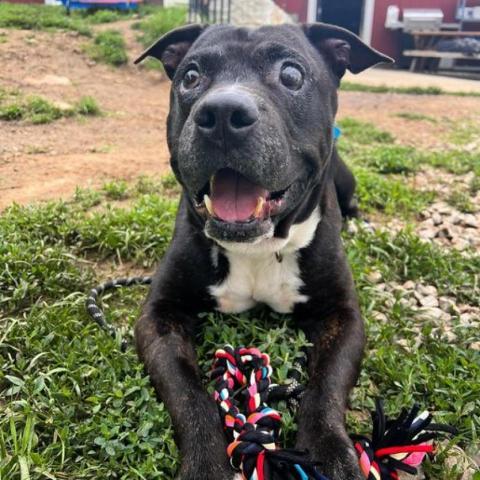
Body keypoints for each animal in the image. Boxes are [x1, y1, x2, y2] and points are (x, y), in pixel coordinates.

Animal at [133, 22, 392, 480]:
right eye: (191, 76)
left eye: (291, 74)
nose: (221, 113)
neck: (260, 247)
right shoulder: (158, 318)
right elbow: (188, 394)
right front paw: (205, 463)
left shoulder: (343, 317)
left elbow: (325, 388)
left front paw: (330, 453)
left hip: (346, 177)